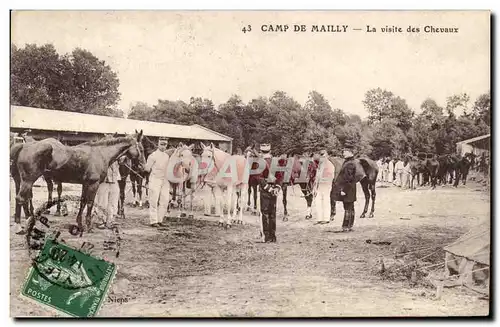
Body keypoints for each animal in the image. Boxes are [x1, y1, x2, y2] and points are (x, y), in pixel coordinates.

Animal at [14, 131, 146, 233]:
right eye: (141, 148)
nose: (143, 167)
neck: (101, 154)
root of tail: (24, 146)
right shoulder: (93, 184)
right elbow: (90, 203)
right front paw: (88, 226)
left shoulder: (85, 184)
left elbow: (83, 202)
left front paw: (80, 224)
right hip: (28, 181)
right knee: (21, 199)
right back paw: (20, 226)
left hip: (24, 181)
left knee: (24, 199)